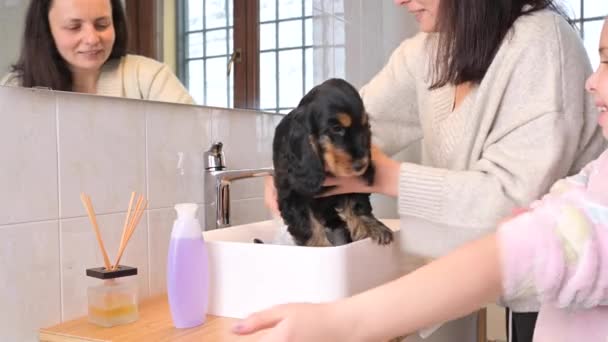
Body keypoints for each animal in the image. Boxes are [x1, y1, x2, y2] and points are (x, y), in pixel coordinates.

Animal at [272, 78, 394, 246]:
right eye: (336, 128)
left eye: (365, 127)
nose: (362, 165)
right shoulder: (292, 194)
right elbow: (309, 225)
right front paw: (320, 246)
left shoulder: (352, 185)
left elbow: (358, 204)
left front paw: (374, 227)